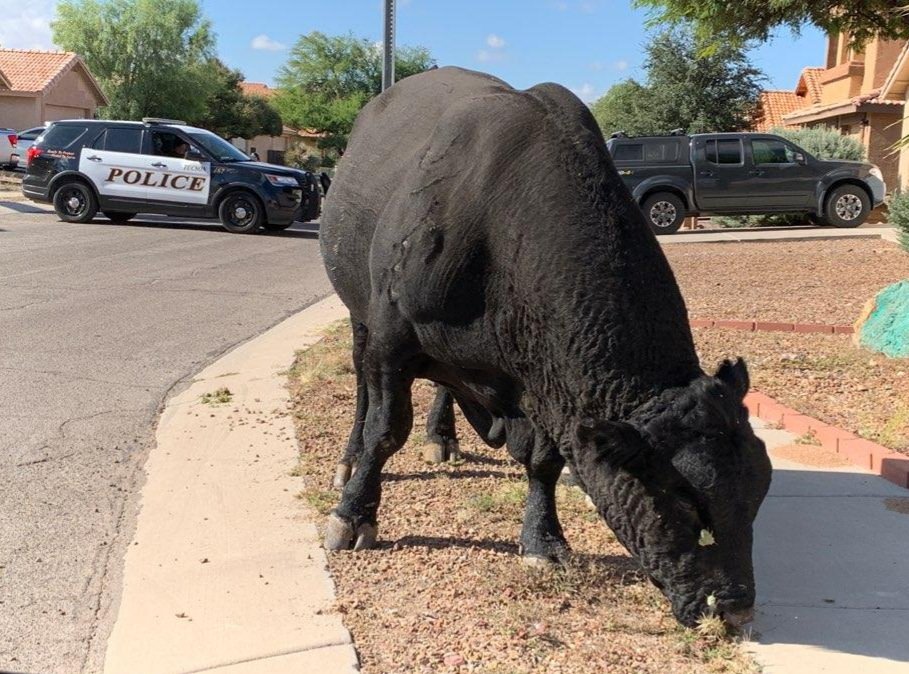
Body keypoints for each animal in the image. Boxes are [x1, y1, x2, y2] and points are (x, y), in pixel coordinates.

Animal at [319, 66, 772, 628]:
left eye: (759, 493)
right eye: (687, 504)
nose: (735, 608)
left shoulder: (546, 387)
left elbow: (543, 461)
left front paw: (544, 540)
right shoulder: (390, 337)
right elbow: (385, 430)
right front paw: (353, 513)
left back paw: (443, 436)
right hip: (359, 315)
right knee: (364, 389)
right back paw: (350, 458)